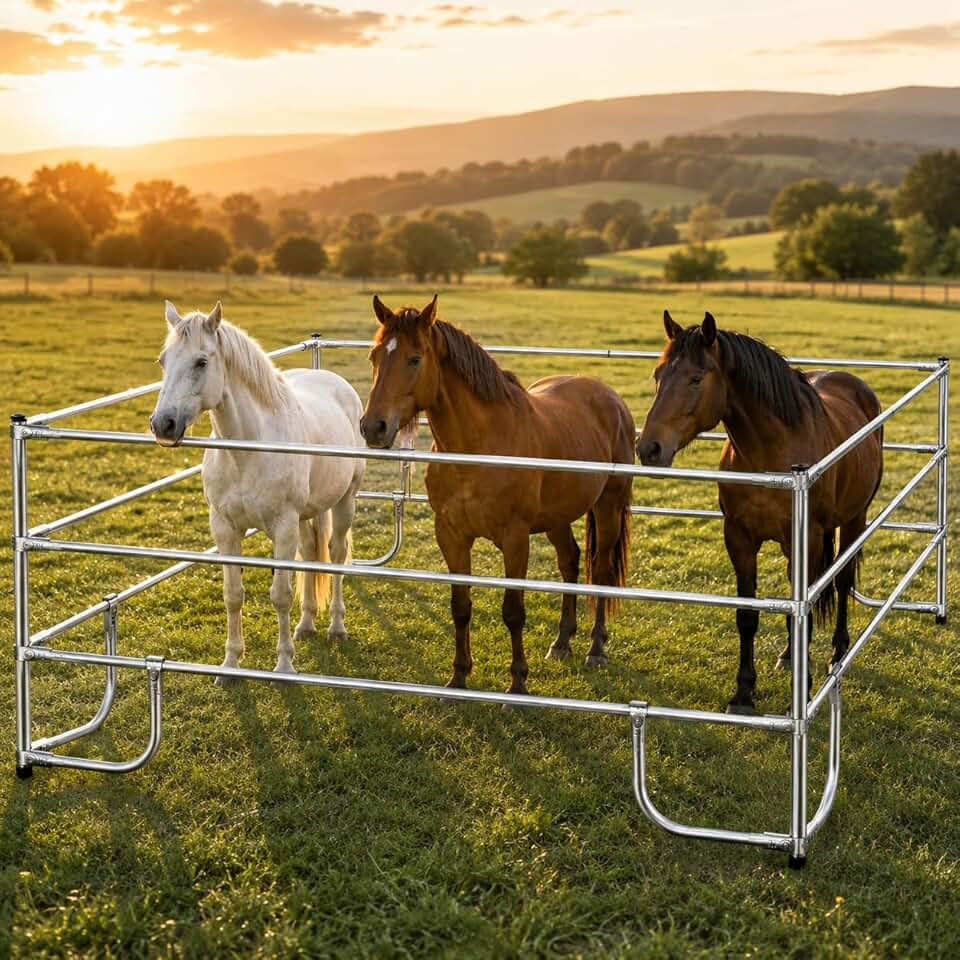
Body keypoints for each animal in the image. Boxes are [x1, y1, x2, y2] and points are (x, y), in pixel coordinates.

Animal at [150, 300, 365, 682]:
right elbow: (233, 595)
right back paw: (306, 625)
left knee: (337, 556)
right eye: (163, 360)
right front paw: (230, 665)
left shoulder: (282, 528)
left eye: (201, 362)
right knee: (311, 554)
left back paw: (336, 628)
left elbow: (280, 595)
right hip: (308, 515)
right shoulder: (224, 527)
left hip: (344, 502)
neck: (247, 451)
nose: (163, 425)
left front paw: (284, 665)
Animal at [359, 294, 635, 697]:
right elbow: (460, 606)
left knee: (599, 571)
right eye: (375, 355)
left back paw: (595, 649)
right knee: (569, 561)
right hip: (557, 516)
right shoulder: (451, 535)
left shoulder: (515, 538)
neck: (478, 448)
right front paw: (458, 679)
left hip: (608, 506)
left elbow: (513, 611)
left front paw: (517, 684)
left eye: (414, 358)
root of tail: (610, 397)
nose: (373, 427)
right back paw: (562, 642)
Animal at [636, 310, 883, 714]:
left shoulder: (806, 540)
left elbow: (807, 609)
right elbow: (748, 615)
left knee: (842, 580)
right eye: (658, 375)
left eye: (695, 378)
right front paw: (743, 693)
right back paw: (789, 655)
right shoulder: (739, 538)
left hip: (853, 519)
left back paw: (837, 654)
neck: (771, 452)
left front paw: (803, 691)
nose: (648, 448)